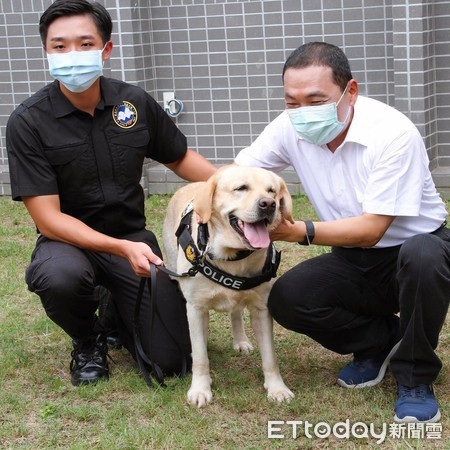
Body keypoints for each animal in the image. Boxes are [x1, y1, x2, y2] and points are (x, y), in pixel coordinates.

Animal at [162, 165, 296, 408]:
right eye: (241, 188)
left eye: (272, 191)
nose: (269, 204)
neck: (232, 257)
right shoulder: (195, 308)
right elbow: (200, 357)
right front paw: (200, 389)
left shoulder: (262, 308)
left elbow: (270, 357)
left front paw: (277, 388)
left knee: (236, 312)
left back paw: (241, 340)